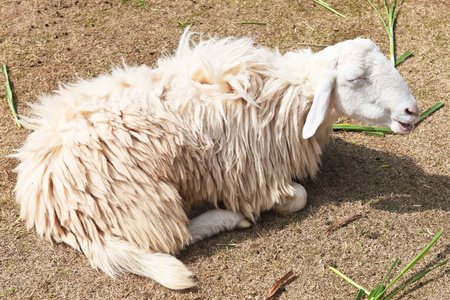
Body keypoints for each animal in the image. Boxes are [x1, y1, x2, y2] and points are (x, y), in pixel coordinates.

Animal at [14, 29, 422, 290]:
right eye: (356, 78)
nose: (412, 111)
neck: (286, 97)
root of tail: (49, 208)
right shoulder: (250, 176)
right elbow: (297, 198)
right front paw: (268, 205)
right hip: (144, 199)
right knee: (172, 240)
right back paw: (224, 219)